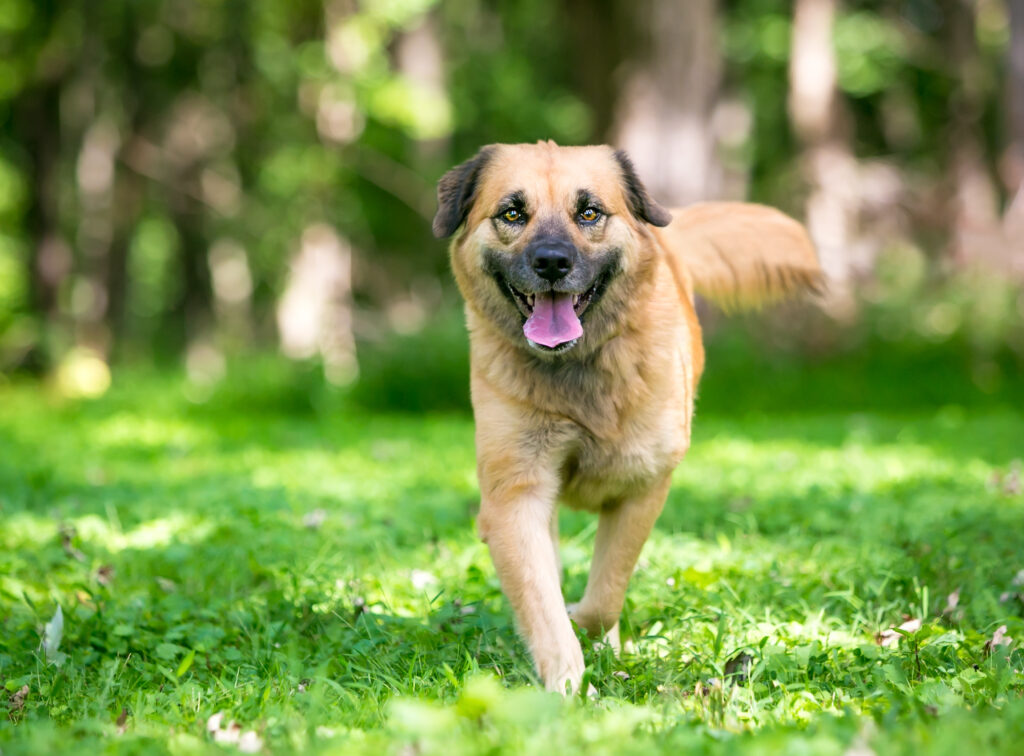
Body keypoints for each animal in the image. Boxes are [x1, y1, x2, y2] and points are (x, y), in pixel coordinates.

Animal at [432, 140, 823, 688]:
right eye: (512, 213)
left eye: (589, 212)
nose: (552, 262)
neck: (578, 373)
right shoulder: (517, 495)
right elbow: (543, 601)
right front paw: (565, 683)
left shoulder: (641, 485)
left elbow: (605, 593)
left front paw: (589, 633)